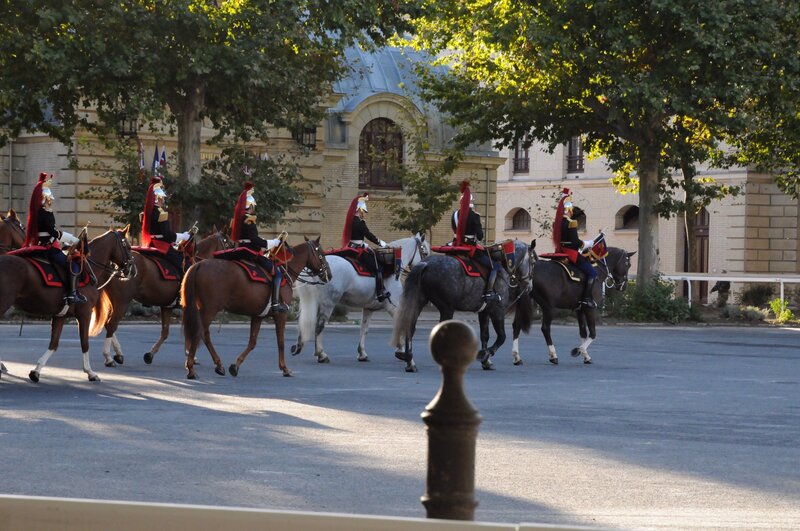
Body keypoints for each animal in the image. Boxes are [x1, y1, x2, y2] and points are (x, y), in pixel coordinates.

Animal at [0, 229, 134, 382]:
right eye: (128, 246)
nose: (132, 269)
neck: (86, 270)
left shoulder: (60, 316)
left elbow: (54, 343)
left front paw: (36, 370)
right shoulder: (84, 314)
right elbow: (84, 343)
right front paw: (90, 372)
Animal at [98, 229, 233, 370]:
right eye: (229, 244)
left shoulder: (167, 307)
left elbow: (165, 332)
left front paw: (150, 354)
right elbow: (188, 330)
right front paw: (191, 355)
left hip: (114, 301)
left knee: (108, 324)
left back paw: (118, 354)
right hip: (122, 301)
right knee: (111, 324)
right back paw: (109, 357)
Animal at [182, 239, 332, 380]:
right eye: (321, 254)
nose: (329, 275)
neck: (285, 271)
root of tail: (199, 264)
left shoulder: (258, 316)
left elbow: (252, 342)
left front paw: (235, 366)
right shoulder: (281, 314)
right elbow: (281, 342)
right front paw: (285, 368)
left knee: (203, 334)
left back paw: (218, 365)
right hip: (210, 309)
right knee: (199, 333)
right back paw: (191, 369)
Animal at [292, 235, 432, 364]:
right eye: (425, 252)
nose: (427, 267)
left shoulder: (369, 308)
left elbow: (364, 329)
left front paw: (362, 353)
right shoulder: (393, 307)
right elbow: (400, 324)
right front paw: (401, 351)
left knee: (302, 320)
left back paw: (298, 346)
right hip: (328, 303)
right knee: (319, 325)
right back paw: (321, 354)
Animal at [390, 241, 536, 374]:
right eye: (533, 262)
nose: (530, 287)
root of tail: (425, 264)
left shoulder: (484, 312)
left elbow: (485, 335)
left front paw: (486, 361)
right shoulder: (497, 310)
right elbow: (502, 336)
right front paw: (485, 354)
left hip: (419, 302)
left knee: (410, 327)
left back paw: (410, 362)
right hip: (447, 309)